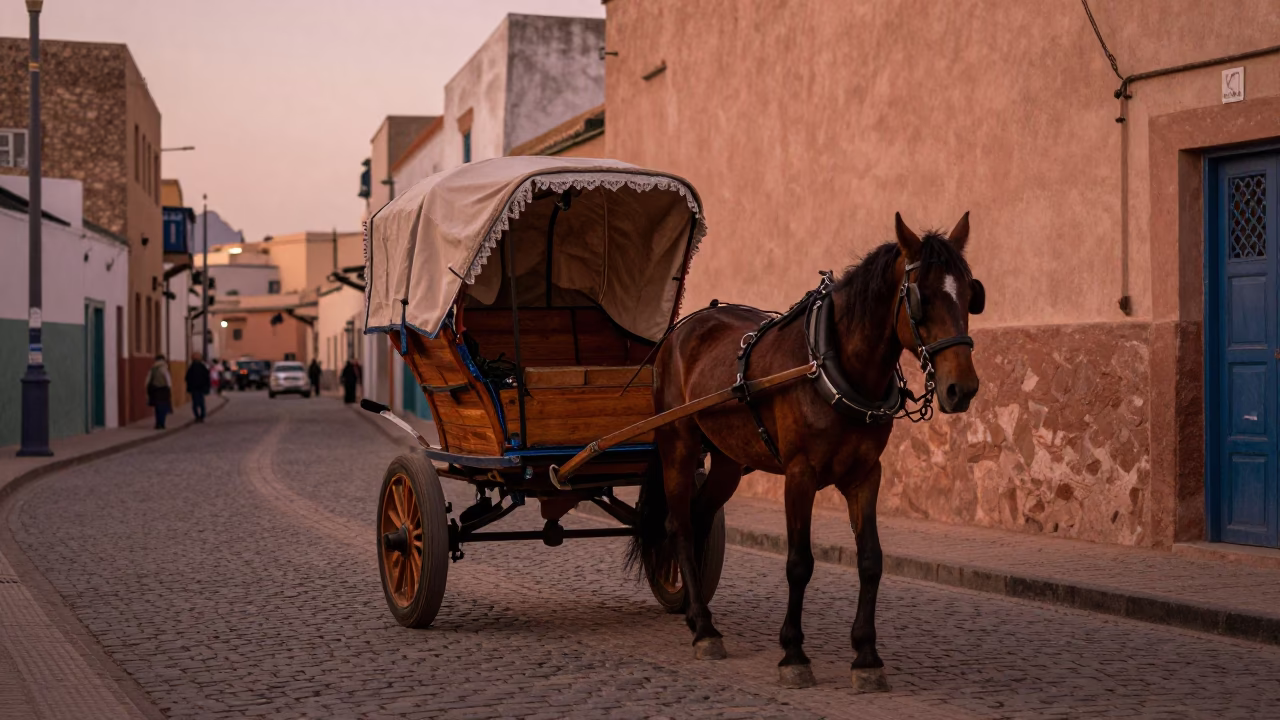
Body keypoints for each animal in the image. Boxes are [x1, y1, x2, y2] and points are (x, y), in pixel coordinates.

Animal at [628, 212, 983, 691]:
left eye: (970, 293)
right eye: (921, 299)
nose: (961, 389)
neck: (833, 366)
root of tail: (679, 331)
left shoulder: (866, 476)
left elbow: (871, 560)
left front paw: (866, 656)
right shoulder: (800, 475)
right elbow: (799, 563)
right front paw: (793, 653)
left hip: (727, 461)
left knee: (699, 518)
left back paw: (694, 611)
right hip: (678, 445)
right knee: (679, 526)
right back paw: (703, 628)